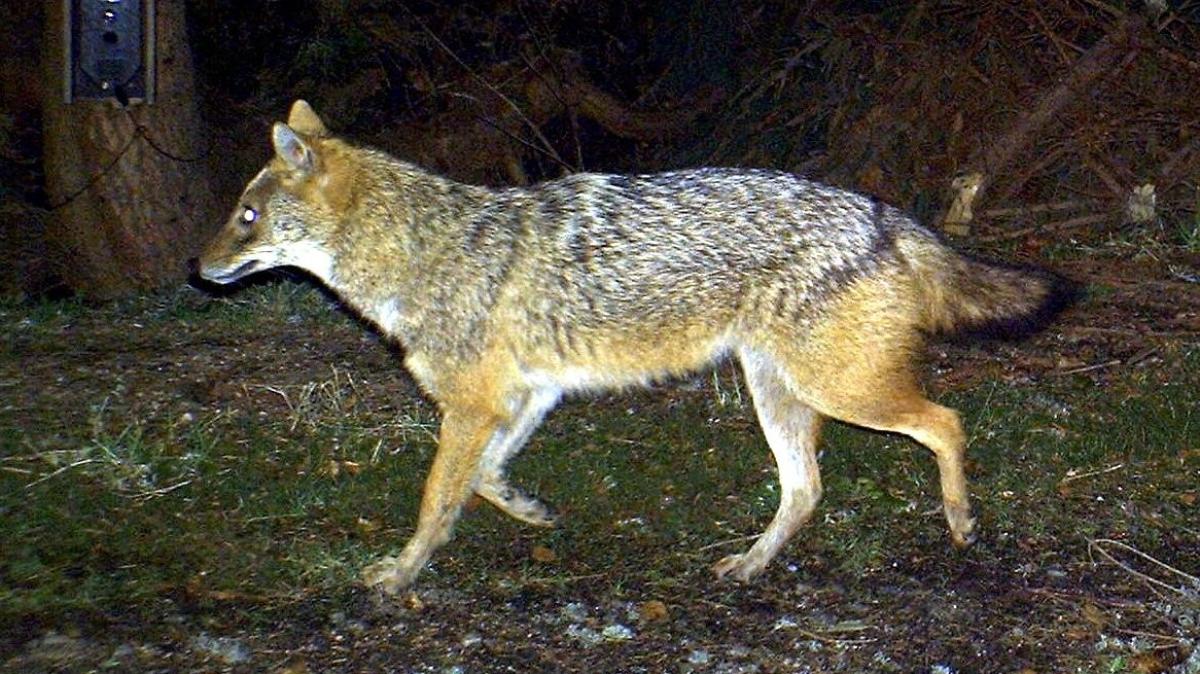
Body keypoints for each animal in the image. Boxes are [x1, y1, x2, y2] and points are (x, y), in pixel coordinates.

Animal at [197, 100, 1074, 595]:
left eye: (246, 216)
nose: (196, 270)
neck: (422, 250)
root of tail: (881, 212)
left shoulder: (472, 406)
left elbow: (436, 498)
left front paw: (400, 575)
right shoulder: (522, 397)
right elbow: (485, 479)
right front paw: (529, 510)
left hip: (839, 390)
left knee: (947, 423)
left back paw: (960, 523)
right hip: (778, 393)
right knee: (807, 489)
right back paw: (750, 568)